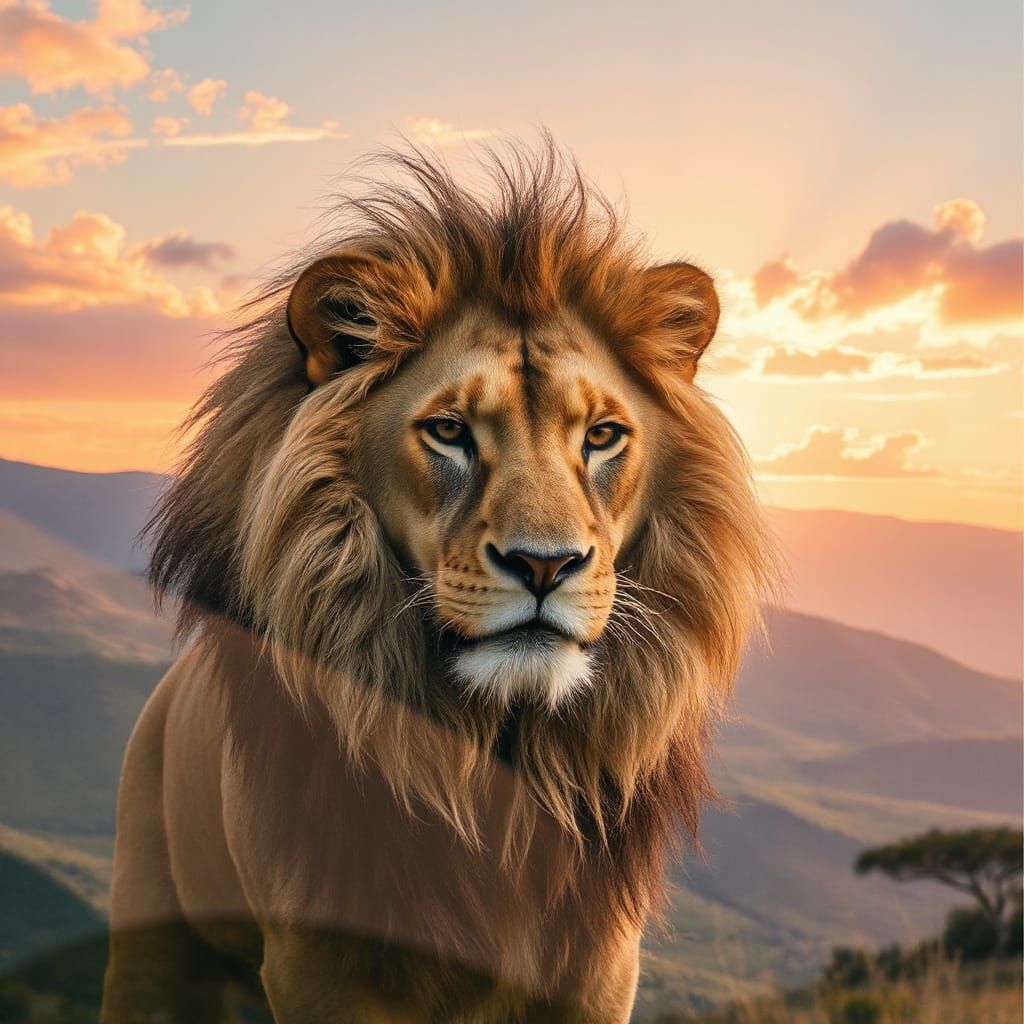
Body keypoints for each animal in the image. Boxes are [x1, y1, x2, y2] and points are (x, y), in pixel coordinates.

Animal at [101, 141, 774, 1024]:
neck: (491, 758)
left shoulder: (598, 969)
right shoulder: (321, 966)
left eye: (601, 436)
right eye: (450, 431)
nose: (546, 565)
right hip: (151, 944)